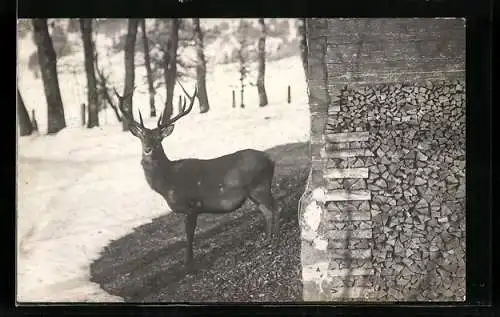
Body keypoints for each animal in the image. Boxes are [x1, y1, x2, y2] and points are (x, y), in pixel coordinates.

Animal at [114, 82, 284, 272]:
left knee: (276, 207)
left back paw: (275, 239)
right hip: (254, 191)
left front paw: (188, 264)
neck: (168, 182)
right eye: (142, 137)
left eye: (159, 139)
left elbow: (189, 235)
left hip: (259, 186)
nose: (148, 149)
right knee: (266, 211)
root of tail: (270, 159)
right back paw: (267, 240)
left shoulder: (192, 204)